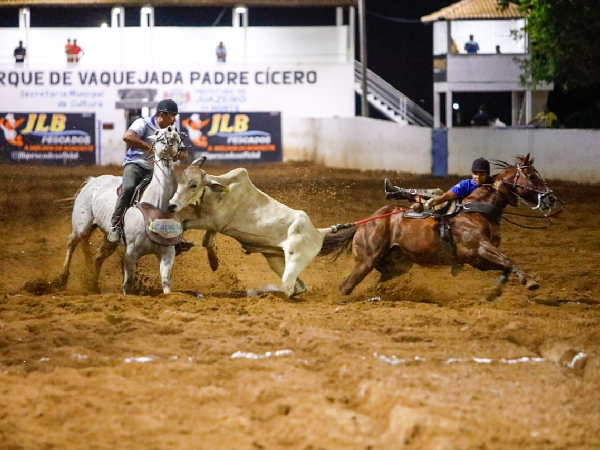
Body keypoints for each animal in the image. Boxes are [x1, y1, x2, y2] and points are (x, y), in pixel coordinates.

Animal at [54, 126, 185, 296]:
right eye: (157, 132)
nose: (171, 129)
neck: (156, 204)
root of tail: (93, 181)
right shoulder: (131, 252)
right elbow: (128, 284)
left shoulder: (168, 253)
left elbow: (165, 283)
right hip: (81, 226)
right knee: (71, 243)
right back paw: (62, 279)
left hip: (109, 239)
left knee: (98, 257)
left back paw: (94, 287)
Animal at [168, 160, 332, 298]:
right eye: (179, 180)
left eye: (194, 185)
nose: (172, 205)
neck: (216, 194)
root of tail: (318, 232)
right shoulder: (213, 226)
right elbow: (205, 240)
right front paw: (214, 264)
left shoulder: (212, 222)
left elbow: (184, 224)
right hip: (275, 259)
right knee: (299, 287)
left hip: (294, 259)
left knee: (289, 286)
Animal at [322, 156, 560, 302]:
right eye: (532, 176)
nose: (551, 198)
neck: (476, 209)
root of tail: (365, 223)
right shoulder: (479, 248)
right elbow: (508, 261)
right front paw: (530, 281)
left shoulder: (478, 259)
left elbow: (504, 266)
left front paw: (493, 293)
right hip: (366, 260)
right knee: (345, 286)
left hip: (395, 266)